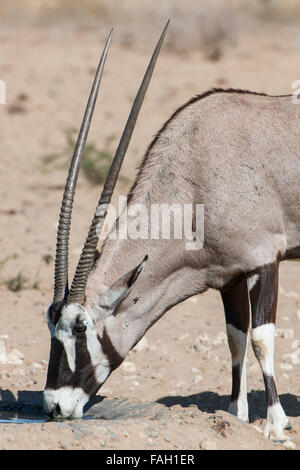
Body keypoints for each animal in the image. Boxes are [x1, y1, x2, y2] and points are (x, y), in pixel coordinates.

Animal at [43, 22, 298, 440]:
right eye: (50, 324)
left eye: (81, 328)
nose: (54, 406)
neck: (196, 180)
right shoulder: (228, 276)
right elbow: (235, 338)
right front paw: (235, 415)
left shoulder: (265, 260)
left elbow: (261, 339)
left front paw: (276, 425)